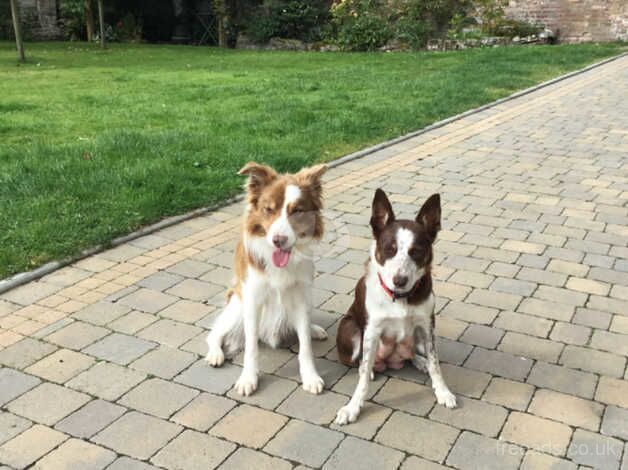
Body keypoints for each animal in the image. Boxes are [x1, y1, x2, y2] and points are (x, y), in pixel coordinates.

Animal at [209, 162, 332, 396]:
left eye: (297, 211)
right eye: (269, 209)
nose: (278, 240)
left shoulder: (301, 296)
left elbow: (305, 344)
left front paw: (310, 377)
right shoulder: (252, 300)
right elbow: (251, 348)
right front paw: (248, 379)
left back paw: (314, 329)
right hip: (237, 306)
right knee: (215, 332)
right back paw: (215, 354)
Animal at [334, 188, 456, 426]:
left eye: (416, 251)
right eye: (389, 249)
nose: (399, 280)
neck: (400, 297)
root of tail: (390, 361)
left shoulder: (427, 327)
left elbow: (435, 364)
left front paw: (442, 391)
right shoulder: (371, 332)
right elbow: (363, 379)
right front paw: (353, 407)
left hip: (418, 337)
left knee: (414, 354)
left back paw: (419, 362)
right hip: (351, 329)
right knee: (357, 361)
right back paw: (369, 368)